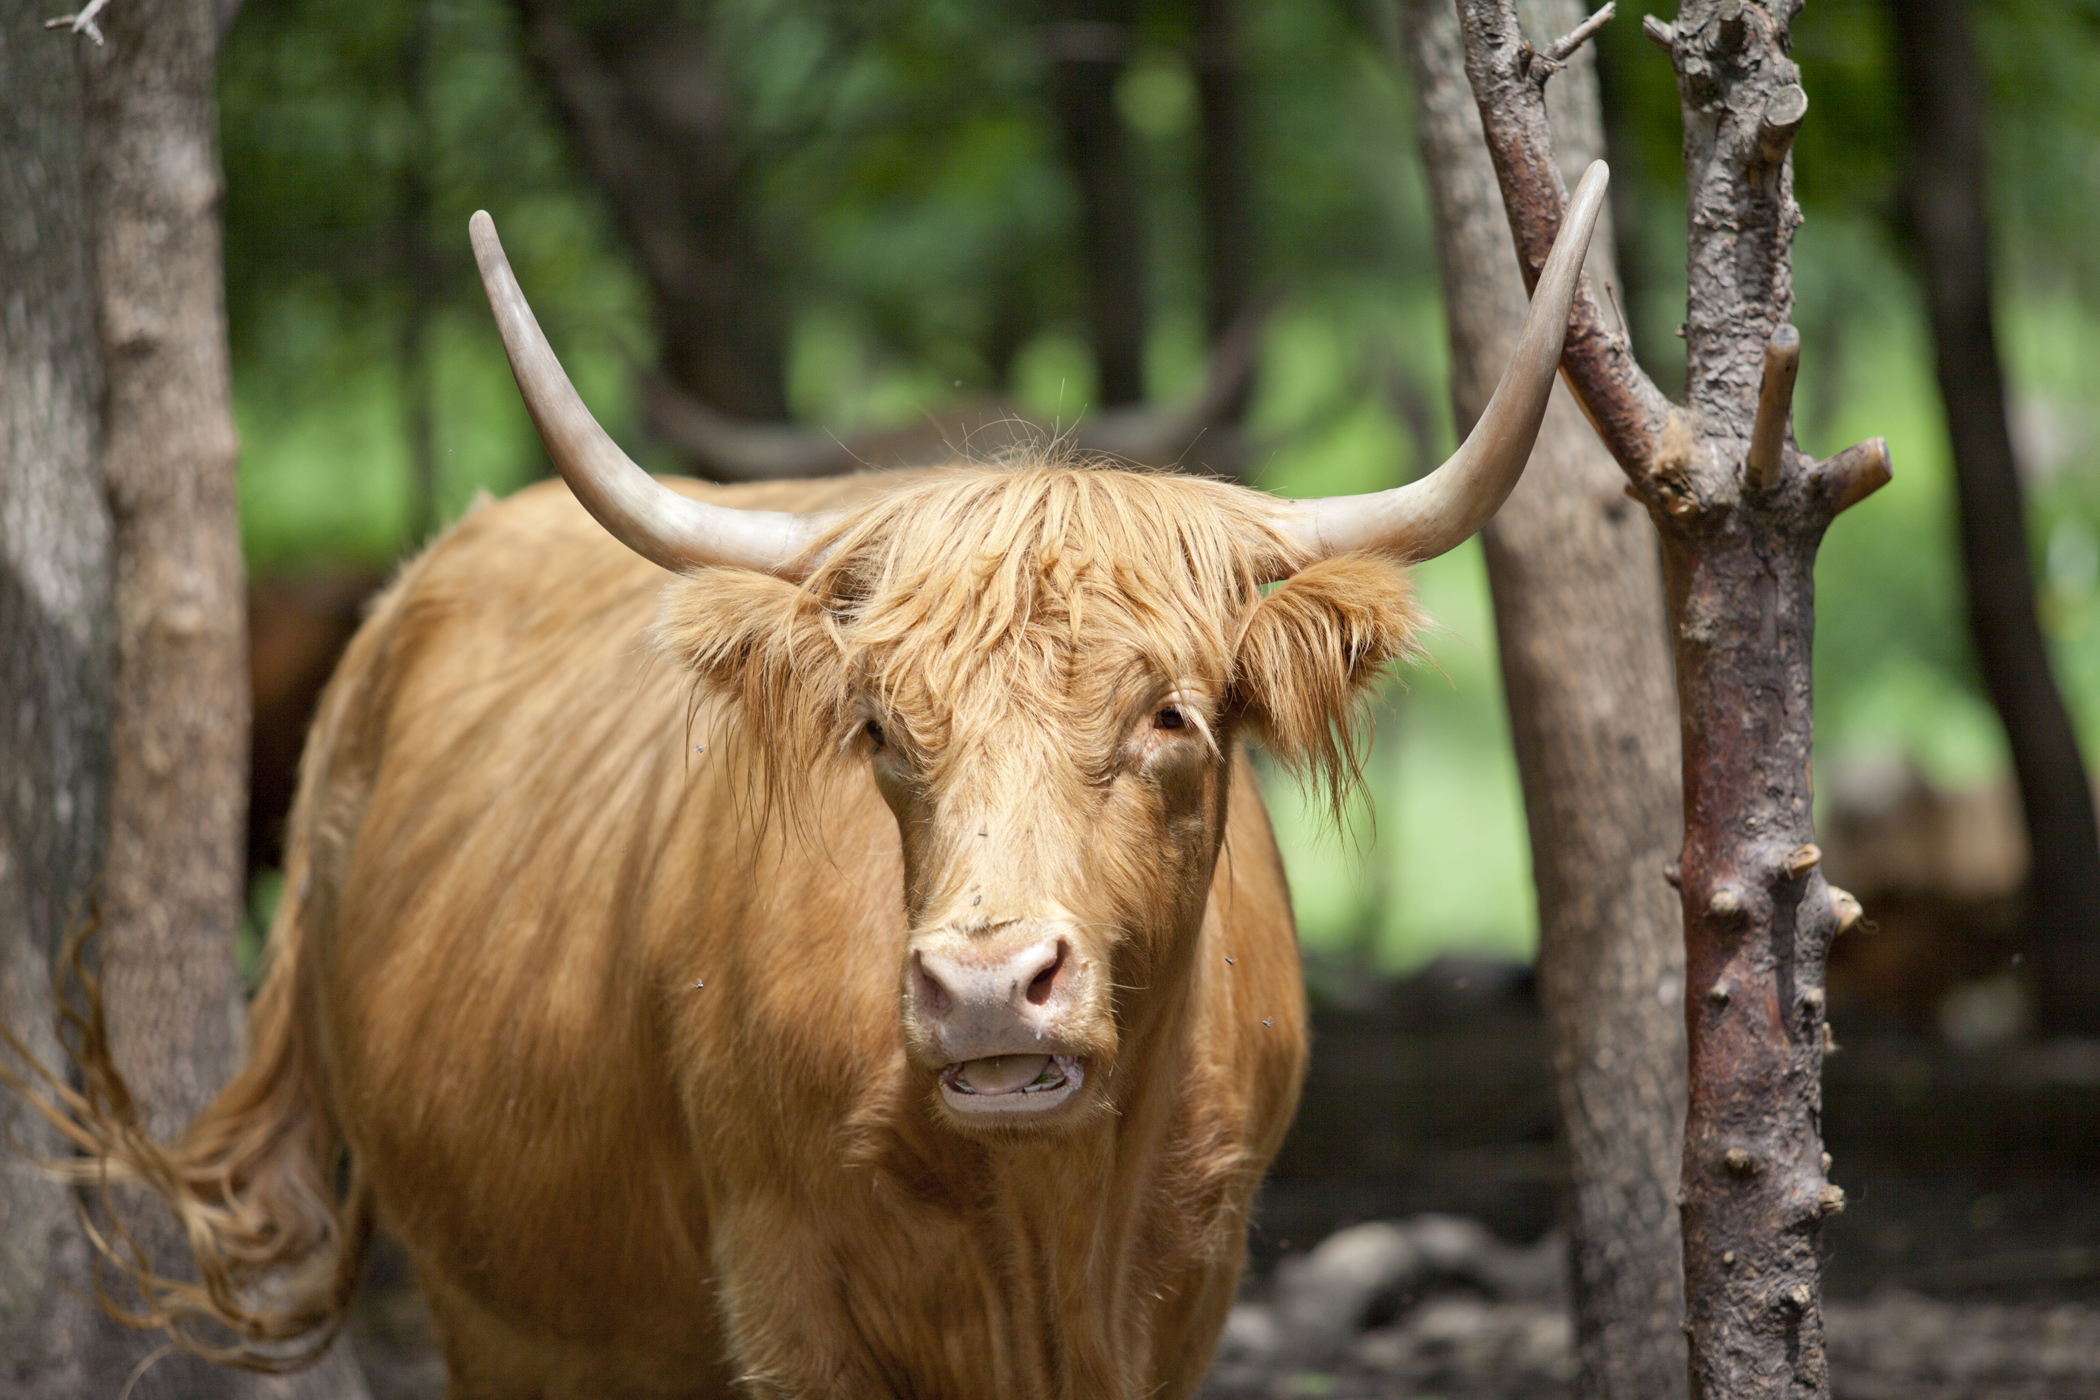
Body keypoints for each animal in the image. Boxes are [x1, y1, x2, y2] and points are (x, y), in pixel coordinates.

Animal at [20, 161, 1604, 1393]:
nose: (985, 989)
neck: (1046, 1228)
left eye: (1171, 715)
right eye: (883, 728)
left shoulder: (1191, 1289)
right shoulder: (790, 1304)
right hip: (499, 1308)